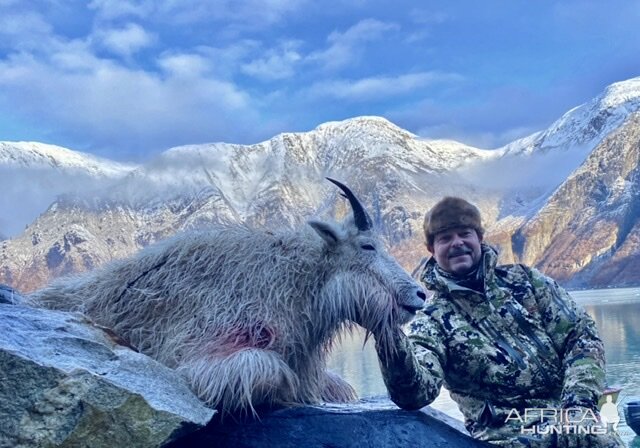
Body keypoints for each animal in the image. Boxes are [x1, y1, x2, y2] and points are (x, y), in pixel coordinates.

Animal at [31, 178, 430, 412]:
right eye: (367, 245)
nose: (420, 294)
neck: (292, 282)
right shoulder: (197, 354)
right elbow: (269, 371)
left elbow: (339, 388)